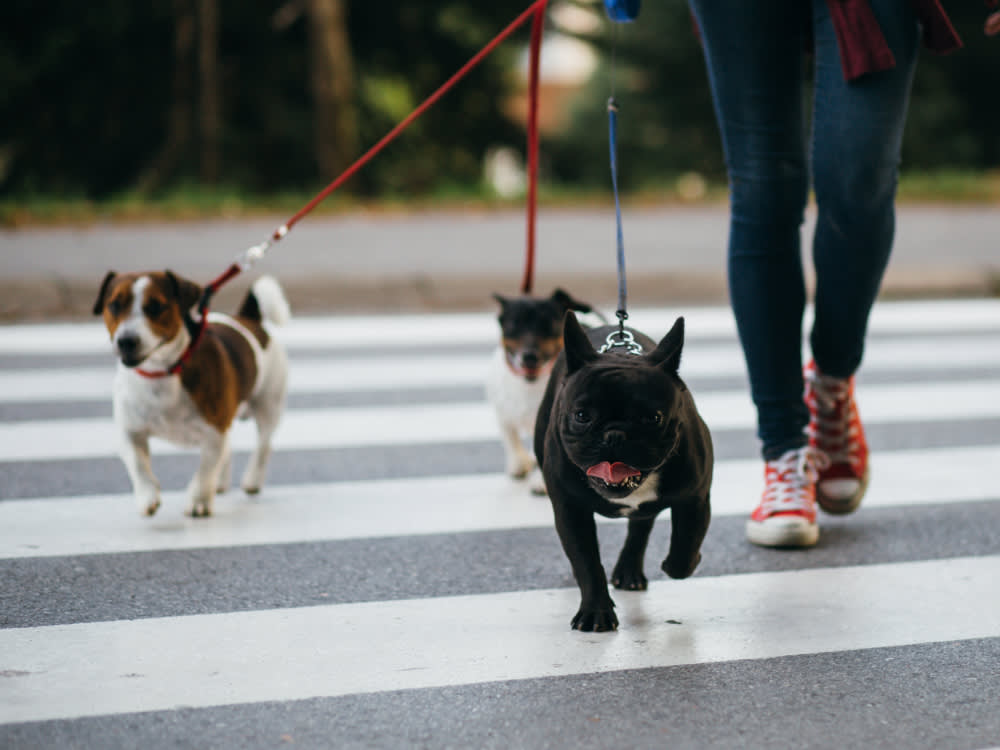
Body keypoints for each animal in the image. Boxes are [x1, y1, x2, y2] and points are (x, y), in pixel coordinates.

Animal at [93, 274, 290, 520]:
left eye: (155, 307)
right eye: (114, 305)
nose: (126, 341)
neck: (162, 373)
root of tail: (247, 317)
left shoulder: (214, 432)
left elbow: (205, 470)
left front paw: (199, 502)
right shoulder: (130, 431)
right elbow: (138, 465)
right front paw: (148, 496)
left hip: (268, 406)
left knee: (263, 445)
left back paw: (252, 480)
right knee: (230, 448)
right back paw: (221, 482)